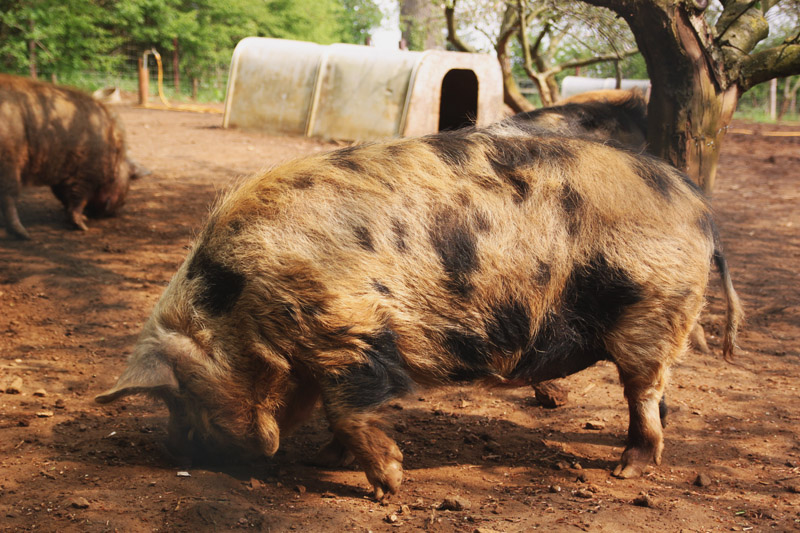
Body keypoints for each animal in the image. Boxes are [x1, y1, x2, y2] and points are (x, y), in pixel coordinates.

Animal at [0, 73, 144, 239]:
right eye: (129, 178)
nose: (117, 210)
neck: (113, 150)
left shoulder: (63, 176)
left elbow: (64, 198)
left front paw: (82, 219)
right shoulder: (86, 174)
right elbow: (78, 199)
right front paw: (82, 226)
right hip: (9, 161)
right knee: (8, 197)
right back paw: (24, 234)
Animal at [95, 116, 744, 498]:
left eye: (177, 395)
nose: (172, 449)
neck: (245, 309)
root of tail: (702, 211)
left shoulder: (347, 332)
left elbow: (348, 410)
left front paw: (387, 488)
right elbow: (341, 413)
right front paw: (324, 462)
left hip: (652, 308)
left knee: (644, 391)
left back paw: (627, 469)